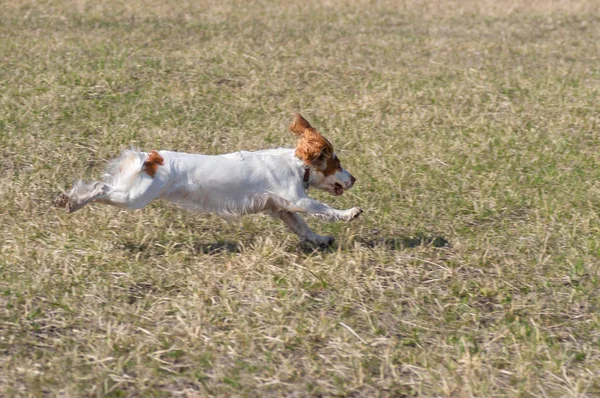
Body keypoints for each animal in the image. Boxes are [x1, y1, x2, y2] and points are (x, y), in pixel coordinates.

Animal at [56, 113, 364, 246]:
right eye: (336, 163)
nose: (354, 178)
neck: (298, 166)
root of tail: (152, 157)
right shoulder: (297, 199)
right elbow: (325, 209)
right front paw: (351, 213)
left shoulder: (282, 209)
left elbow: (303, 228)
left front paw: (321, 239)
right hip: (134, 196)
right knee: (99, 187)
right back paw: (71, 201)